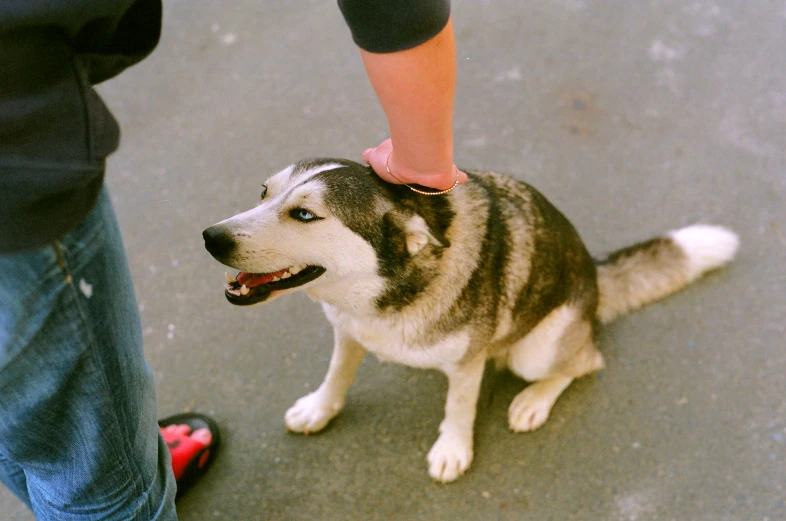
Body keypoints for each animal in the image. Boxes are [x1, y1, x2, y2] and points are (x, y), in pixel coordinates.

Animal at [201, 156, 736, 482]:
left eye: (305, 215)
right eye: (263, 192)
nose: (210, 237)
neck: (381, 291)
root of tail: (595, 277)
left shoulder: (465, 362)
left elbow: (458, 405)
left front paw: (453, 450)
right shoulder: (347, 330)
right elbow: (337, 374)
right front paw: (319, 408)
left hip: (535, 350)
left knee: (586, 361)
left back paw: (533, 401)